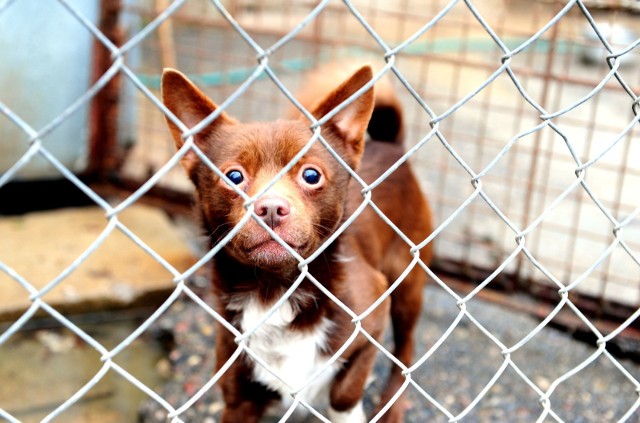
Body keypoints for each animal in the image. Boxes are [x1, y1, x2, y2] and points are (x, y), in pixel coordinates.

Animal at [161, 63, 436, 423]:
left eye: (311, 175)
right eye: (233, 177)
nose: (270, 208)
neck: (274, 292)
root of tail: (390, 145)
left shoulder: (372, 317)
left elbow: (345, 392)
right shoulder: (238, 398)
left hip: (407, 284)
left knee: (405, 348)